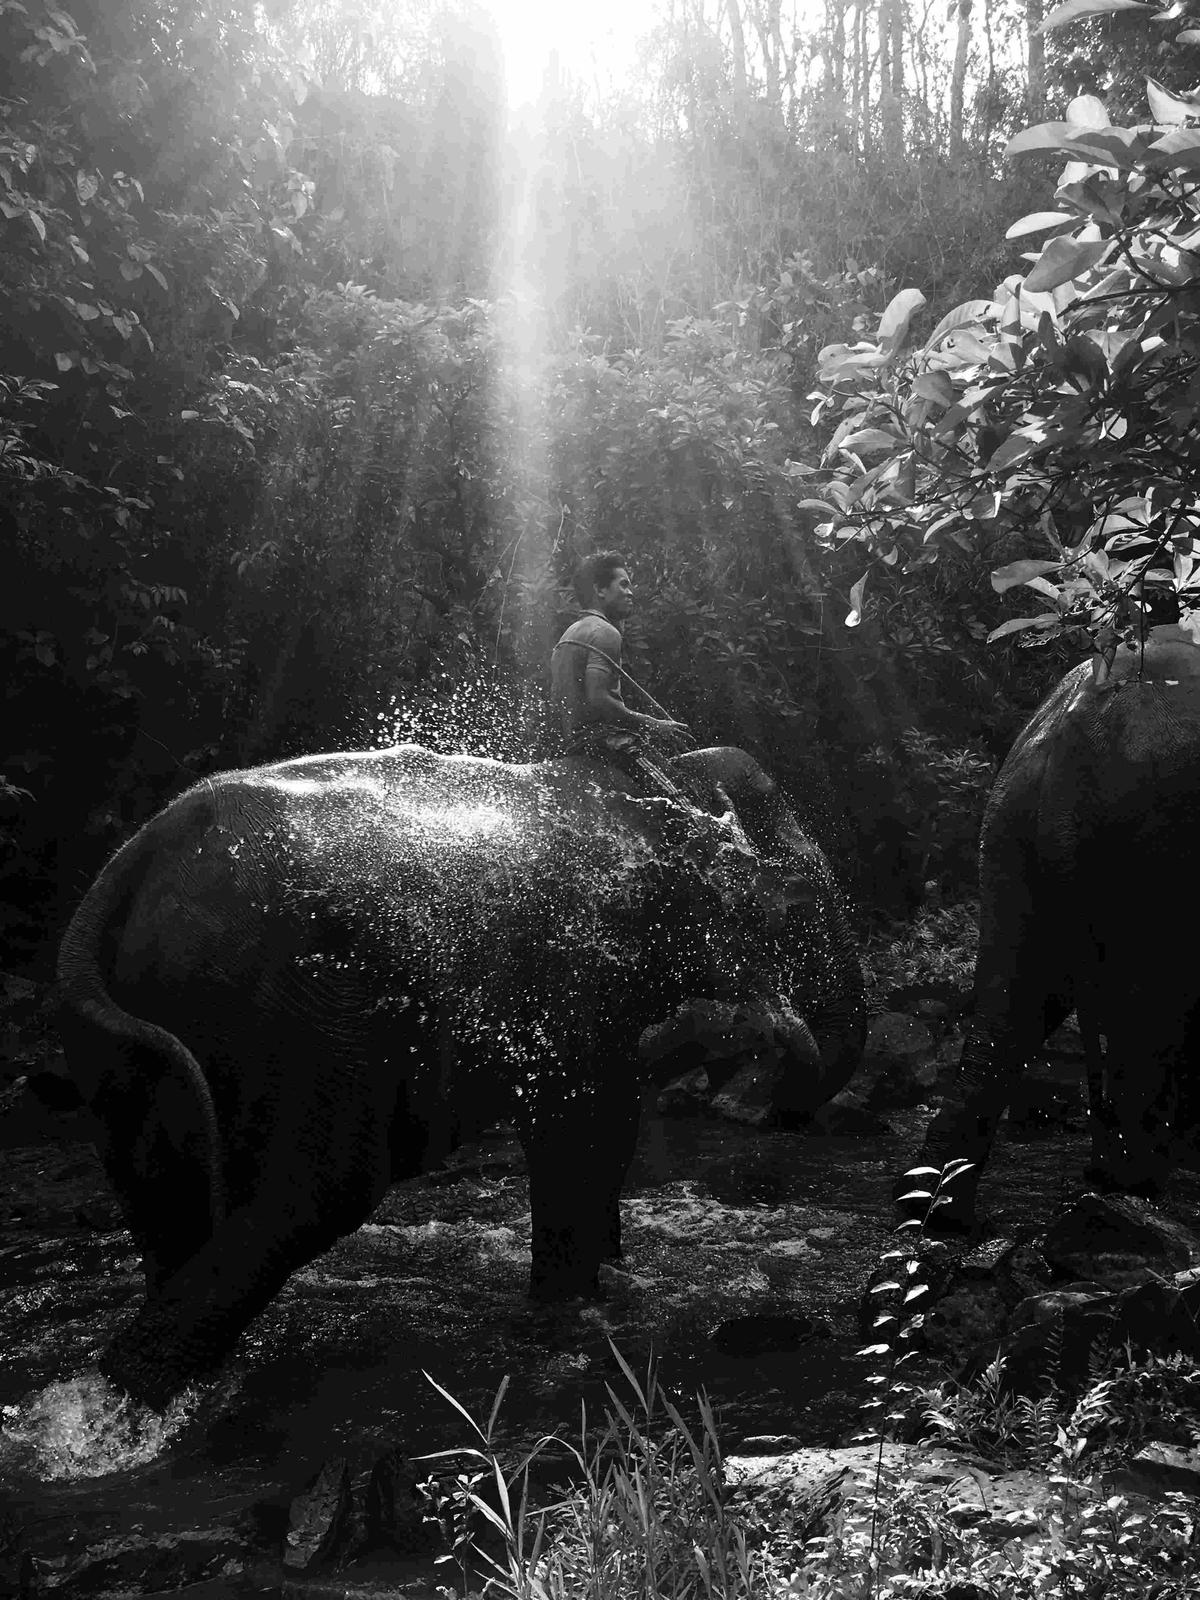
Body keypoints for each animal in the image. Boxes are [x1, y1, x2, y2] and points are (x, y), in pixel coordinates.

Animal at [56, 741, 864, 1409]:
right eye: (792, 908)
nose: (764, 1093)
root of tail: (130, 863)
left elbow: (597, 1132)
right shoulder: (581, 967)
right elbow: (583, 1132)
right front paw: (575, 1313)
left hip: (131, 1054)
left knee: (171, 1205)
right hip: (303, 1013)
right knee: (313, 1196)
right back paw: (132, 1409)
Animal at [903, 624, 1200, 1229]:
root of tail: (1075, 727)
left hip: (1009, 816)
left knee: (1011, 1004)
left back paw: (940, 1212)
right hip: (1146, 840)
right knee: (1146, 1005)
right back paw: (1133, 1187)